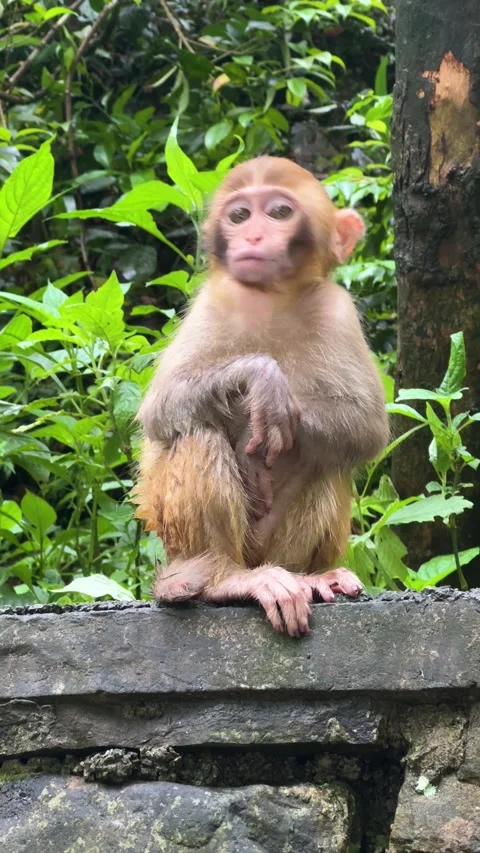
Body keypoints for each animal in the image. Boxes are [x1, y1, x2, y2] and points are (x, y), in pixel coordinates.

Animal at [134, 156, 388, 638]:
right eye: (239, 216)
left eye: (279, 213)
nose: (251, 235)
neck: (272, 299)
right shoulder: (214, 301)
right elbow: (162, 406)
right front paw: (261, 380)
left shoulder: (338, 309)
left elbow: (366, 429)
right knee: (197, 431)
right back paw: (222, 579)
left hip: (271, 546)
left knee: (326, 455)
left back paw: (310, 577)